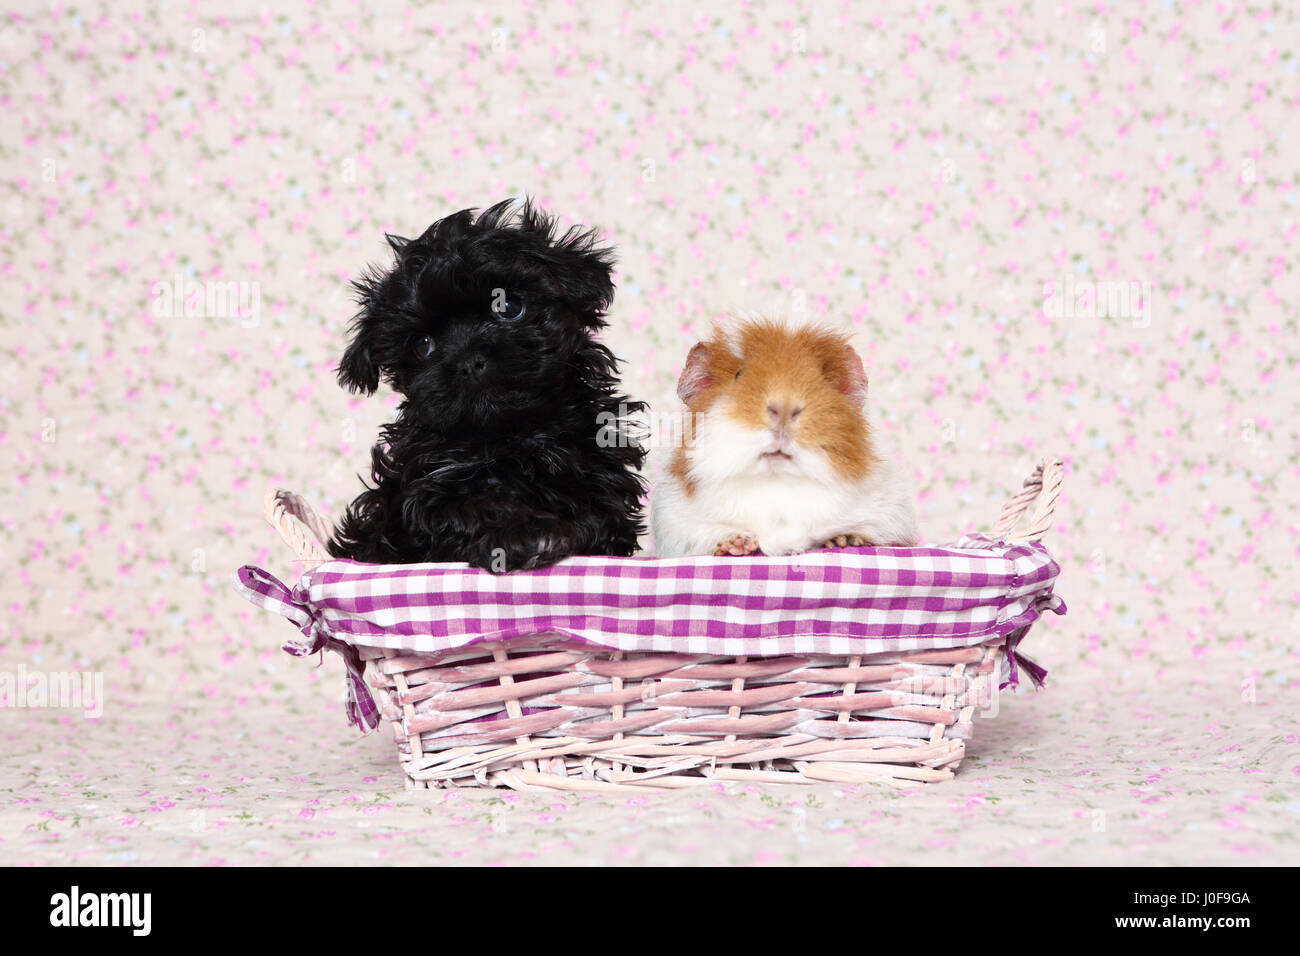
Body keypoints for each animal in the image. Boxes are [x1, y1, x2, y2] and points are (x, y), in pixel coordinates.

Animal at [327, 195, 647, 567]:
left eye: (508, 307)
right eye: (423, 346)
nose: (468, 361)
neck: (514, 434)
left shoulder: (600, 467)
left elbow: (599, 511)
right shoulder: (428, 487)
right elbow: (471, 506)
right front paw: (523, 535)